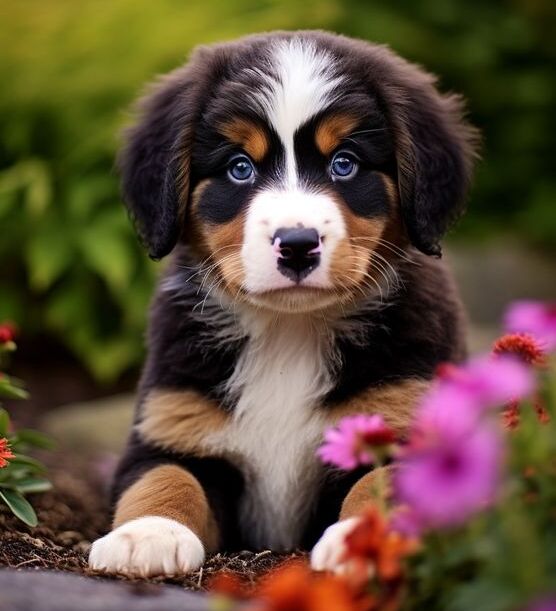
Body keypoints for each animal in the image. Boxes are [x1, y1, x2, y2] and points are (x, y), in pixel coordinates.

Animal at [88, 29, 478, 580]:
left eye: (344, 163)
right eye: (239, 168)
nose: (297, 244)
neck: (289, 332)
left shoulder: (404, 424)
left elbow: (379, 483)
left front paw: (365, 542)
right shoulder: (173, 423)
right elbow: (164, 477)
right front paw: (146, 536)